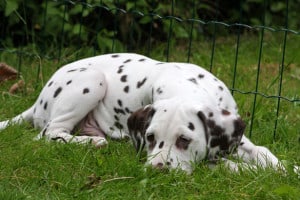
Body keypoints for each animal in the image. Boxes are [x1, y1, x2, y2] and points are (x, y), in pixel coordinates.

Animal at [0, 53, 292, 173]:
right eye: (150, 138)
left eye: (184, 140)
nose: (155, 169)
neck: (188, 84)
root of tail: (37, 101)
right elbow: (229, 165)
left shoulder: (236, 137)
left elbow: (264, 153)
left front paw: (288, 169)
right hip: (93, 80)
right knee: (49, 133)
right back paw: (92, 142)